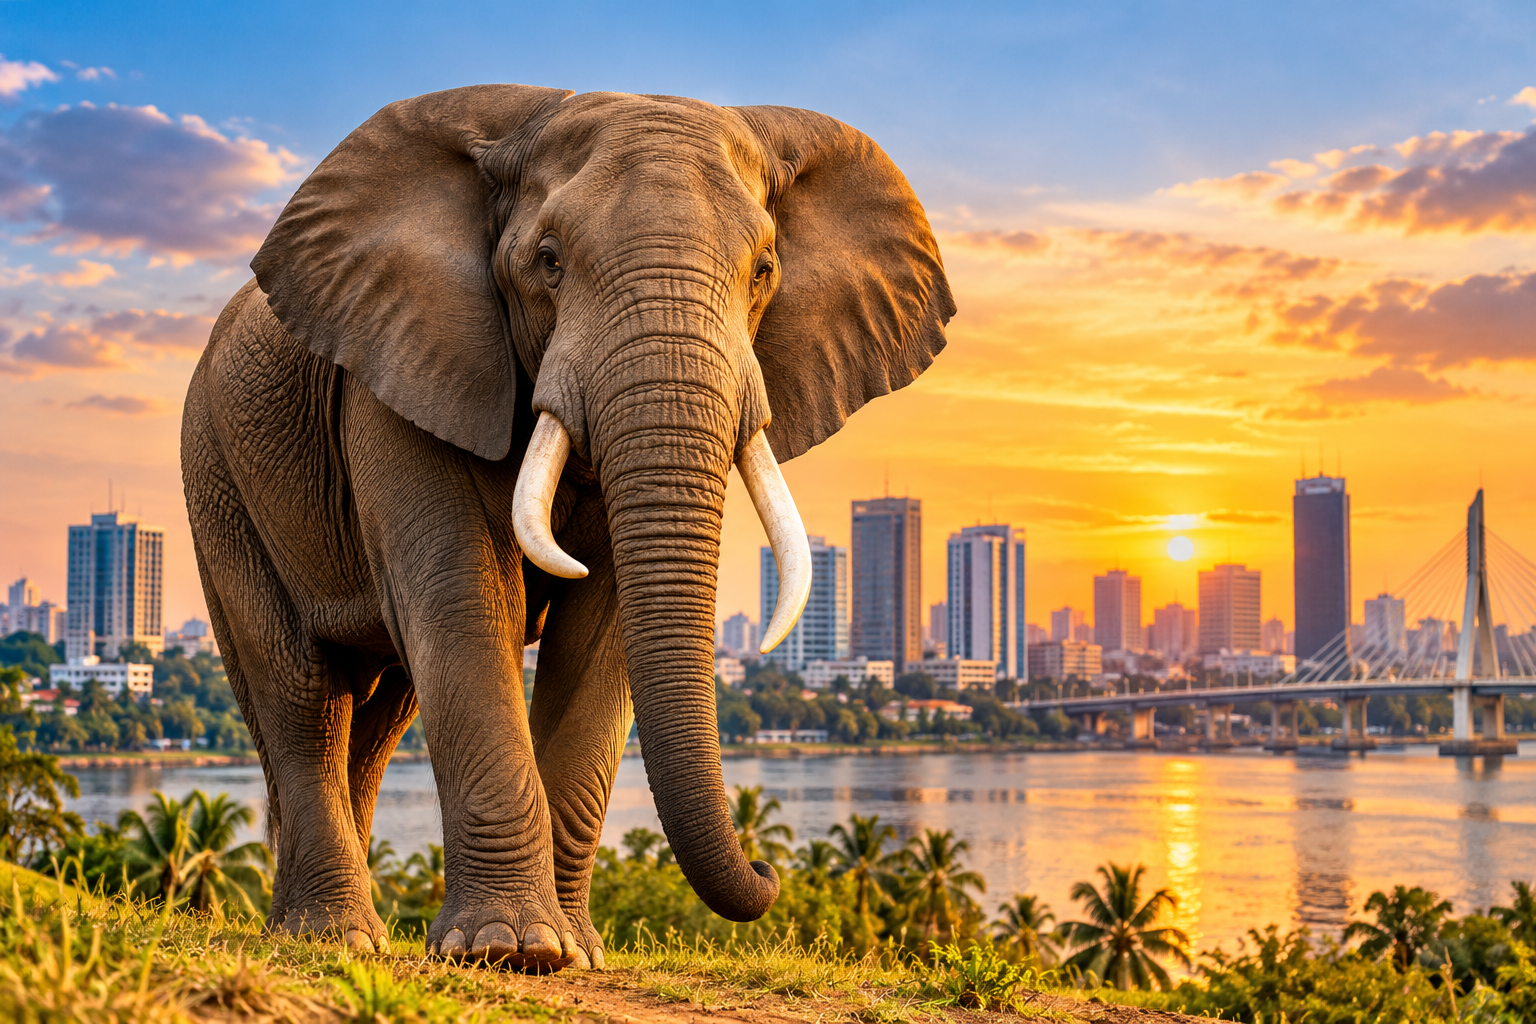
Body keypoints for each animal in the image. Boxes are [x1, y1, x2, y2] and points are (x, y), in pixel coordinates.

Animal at [181, 84, 953, 970]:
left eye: (764, 272)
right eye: (548, 262)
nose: (769, 871)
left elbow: (601, 630)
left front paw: (572, 953)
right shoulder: (400, 372)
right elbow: (465, 599)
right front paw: (509, 951)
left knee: (380, 716)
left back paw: (332, 930)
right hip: (215, 473)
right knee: (302, 689)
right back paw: (332, 938)